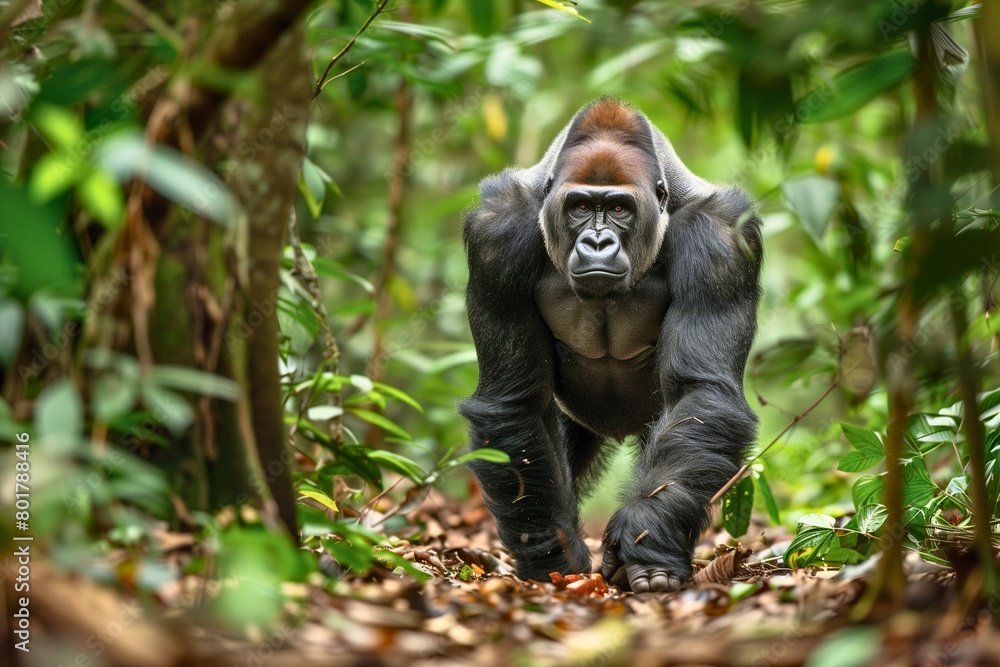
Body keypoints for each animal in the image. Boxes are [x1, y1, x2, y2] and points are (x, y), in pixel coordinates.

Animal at [458, 96, 760, 592]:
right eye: (580, 205)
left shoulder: (723, 240)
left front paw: (647, 538)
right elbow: (514, 402)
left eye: (619, 208)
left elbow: (699, 396)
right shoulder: (496, 237)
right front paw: (553, 555)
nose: (597, 241)